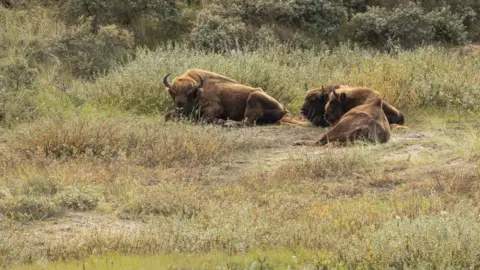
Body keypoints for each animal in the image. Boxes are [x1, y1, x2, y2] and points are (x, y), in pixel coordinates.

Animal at [161, 68, 304, 125]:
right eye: (173, 92)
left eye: (189, 93)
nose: (179, 108)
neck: (199, 91)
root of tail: (283, 108)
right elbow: (167, 115)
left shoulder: (215, 108)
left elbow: (204, 119)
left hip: (254, 97)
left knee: (246, 122)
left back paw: (227, 123)